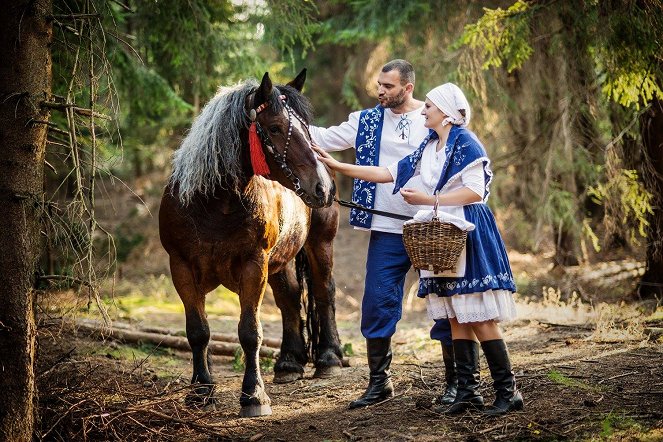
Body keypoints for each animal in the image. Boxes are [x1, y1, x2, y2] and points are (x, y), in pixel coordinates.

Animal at [159, 70, 344, 418]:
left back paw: (328, 358)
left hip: (320, 243)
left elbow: (250, 332)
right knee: (289, 299)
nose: (323, 187)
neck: (213, 204)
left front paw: (254, 396)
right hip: (280, 261)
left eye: (305, 127)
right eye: (274, 128)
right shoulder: (182, 267)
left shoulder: (253, 264)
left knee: (323, 292)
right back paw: (288, 363)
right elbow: (198, 332)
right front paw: (200, 391)